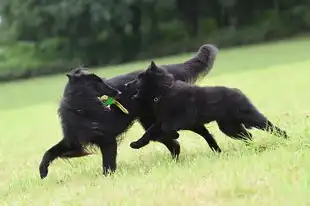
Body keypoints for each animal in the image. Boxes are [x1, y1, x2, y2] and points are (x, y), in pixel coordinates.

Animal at [38, 43, 218, 179]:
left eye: (101, 80)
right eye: (96, 83)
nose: (118, 92)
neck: (82, 109)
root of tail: (165, 70)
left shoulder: (108, 140)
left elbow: (108, 163)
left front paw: (107, 178)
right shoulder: (72, 140)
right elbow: (50, 152)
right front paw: (43, 171)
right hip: (149, 122)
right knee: (172, 142)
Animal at [126, 60, 288, 151]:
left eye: (139, 79)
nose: (126, 85)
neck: (165, 91)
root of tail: (238, 92)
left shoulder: (185, 118)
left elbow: (166, 128)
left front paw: (174, 134)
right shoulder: (165, 121)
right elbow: (150, 132)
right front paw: (136, 144)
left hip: (249, 118)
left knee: (270, 127)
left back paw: (286, 138)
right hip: (229, 127)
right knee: (248, 135)